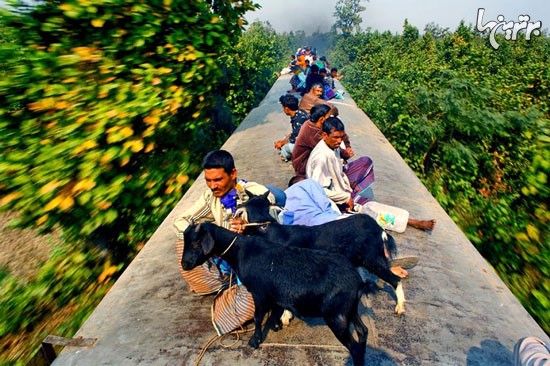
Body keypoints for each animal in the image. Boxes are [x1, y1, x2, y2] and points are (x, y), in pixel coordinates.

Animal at [184, 223, 370, 366]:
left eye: (195, 243)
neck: (240, 251)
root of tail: (358, 282)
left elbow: (258, 316)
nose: (185, 264)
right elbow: (274, 311)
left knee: (353, 346)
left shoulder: (259, 293)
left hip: (336, 316)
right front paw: (275, 325)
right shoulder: (273, 294)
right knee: (363, 332)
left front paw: (255, 340)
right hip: (350, 310)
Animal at [239, 192, 408, 314]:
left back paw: (399, 307)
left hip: (371, 259)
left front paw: (285, 317)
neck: (268, 229)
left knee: (394, 279)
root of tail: (379, 229)